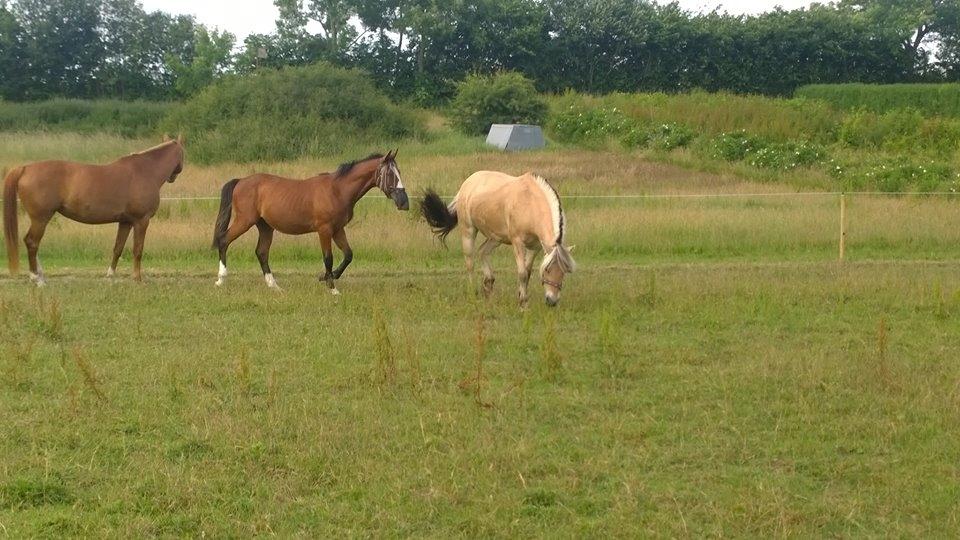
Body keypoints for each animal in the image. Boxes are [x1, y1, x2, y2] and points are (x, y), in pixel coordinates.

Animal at [3, 137, 186, 284]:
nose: (173, 177)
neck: (145, 170)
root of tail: (25, 168)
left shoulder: (125, 222)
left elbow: (118, 248)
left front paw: (110, 275)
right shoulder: (142, 221)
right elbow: (138, 250)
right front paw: (137, 278)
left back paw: (40, 275)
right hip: (40, 218)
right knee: (32, 242)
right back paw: (36, 278)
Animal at [212, 150, 406, 294]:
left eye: (399, 172)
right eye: (390, 174)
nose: (403, 202)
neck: (338, 190)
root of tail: (241, 181)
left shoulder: (338, 229)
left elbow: (348, 255)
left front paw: (327, 277)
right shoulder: (325, 230)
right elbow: (328, 258)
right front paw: (332, 287)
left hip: (265, 226)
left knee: (261, 252)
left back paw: (275, 286)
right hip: (245, 221)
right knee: (224, 240)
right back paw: (221, 279)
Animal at [422, 173, 572, 308]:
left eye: (564, 271)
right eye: (547, 269)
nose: (552, 301)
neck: (529, 202)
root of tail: (467, 184)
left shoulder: (535, 247)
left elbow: (528, 272)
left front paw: (521, 295)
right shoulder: (517, 243)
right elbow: (522, 273)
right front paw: (523, 303)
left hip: (495, 238)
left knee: (482, 251)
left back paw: (488, 285)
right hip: (468, 231)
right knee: (470, 263)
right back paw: (473, 293)